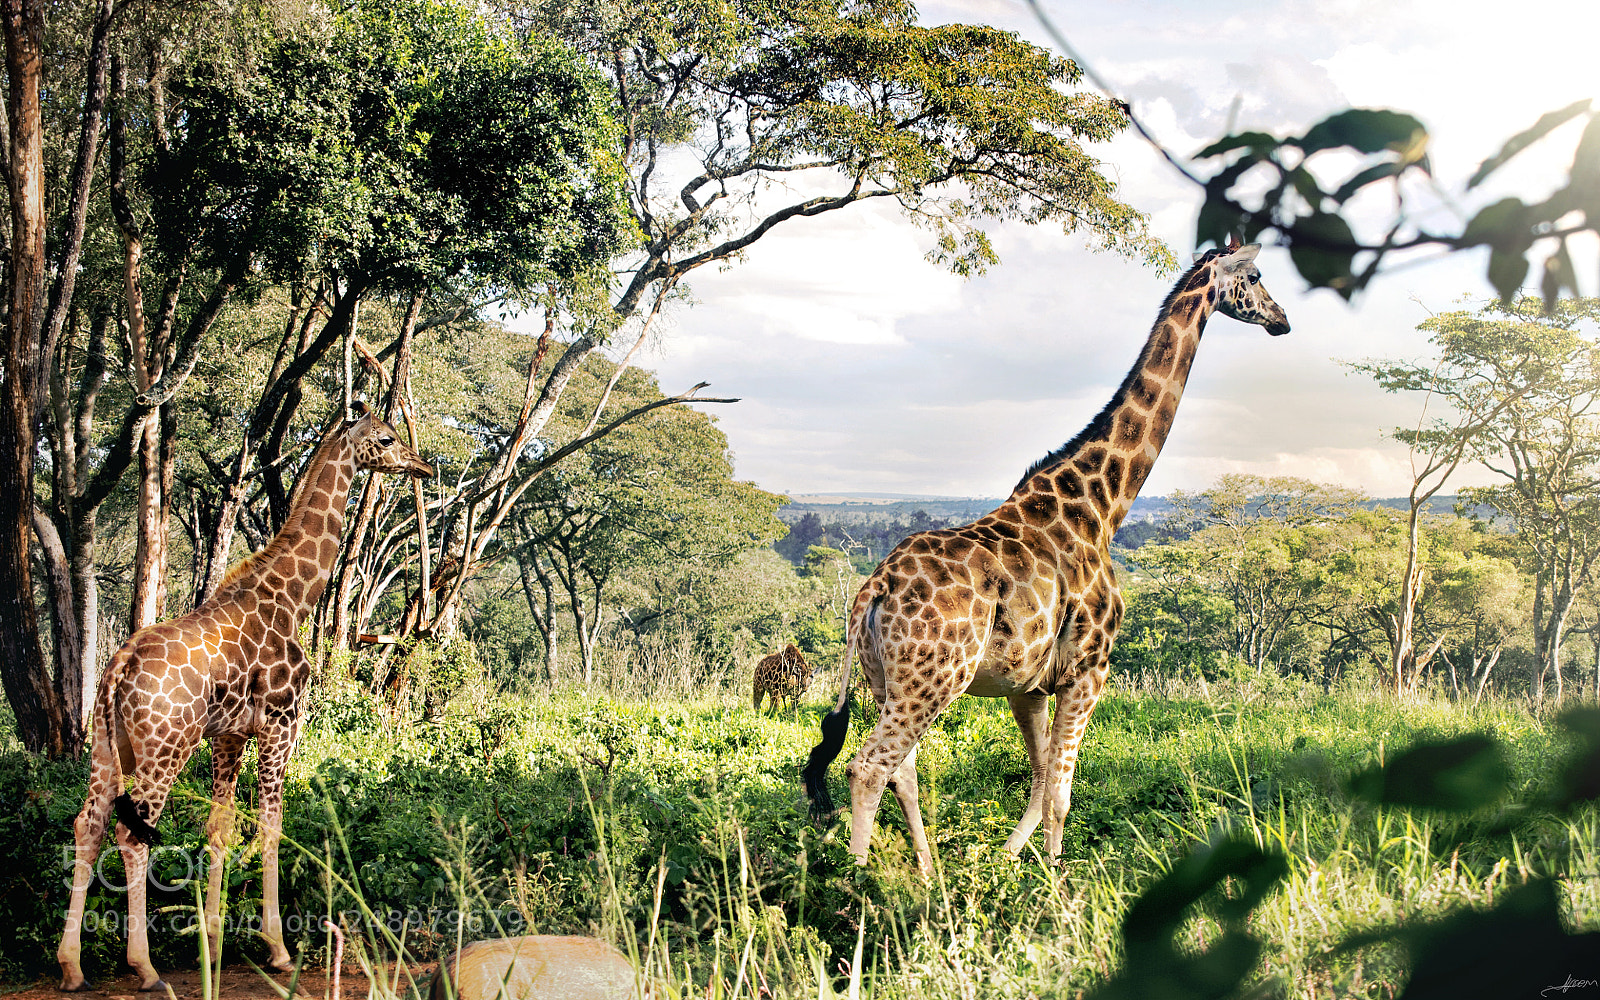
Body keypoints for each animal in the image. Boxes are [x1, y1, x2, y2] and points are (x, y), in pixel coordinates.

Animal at [57, 401, 435, 985]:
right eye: (388, 438)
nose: (423, 466)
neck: (294, 596)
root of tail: (118, 666)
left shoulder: (229, 736)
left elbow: (221, 826)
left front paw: (212, 940)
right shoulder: (282, 721)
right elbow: (271, 825)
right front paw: (276, 946)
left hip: (107, 746)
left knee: (89, 823)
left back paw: (72, 964)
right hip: (165, 748)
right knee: (133, 832)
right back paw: (144, 965)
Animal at [800, 240, 1286, 864]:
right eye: (1256, 275)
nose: (1281, 321)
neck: (1102, 505)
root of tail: (874, 587)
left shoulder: (1029, 684)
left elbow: (1037, 781)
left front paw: (1010, 864)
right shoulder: (1090, 668)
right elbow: (1061, 791)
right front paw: (1056, 881)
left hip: (885, 677)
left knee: (900, 770)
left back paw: (928, 875)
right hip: (934, 677)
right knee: (868, 767)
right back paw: (862, 883)